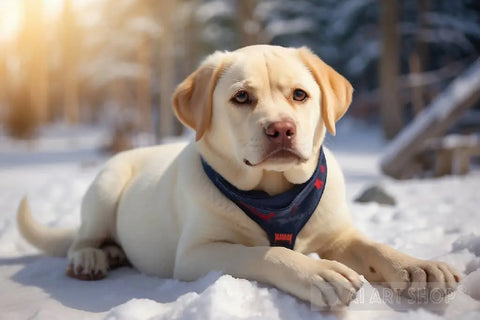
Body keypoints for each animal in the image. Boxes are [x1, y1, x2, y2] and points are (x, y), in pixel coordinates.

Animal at [17, 44, 462, 308]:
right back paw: (92, 256)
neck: (276, 194)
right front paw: (317, 272)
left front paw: (417, 267)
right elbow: (264, 253)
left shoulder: (338, 234)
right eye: (241, 97)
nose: (281, 129)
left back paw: (111, 252)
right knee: (82, 238)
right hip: (106, 185)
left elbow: (374, 247)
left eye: (300, 94)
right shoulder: (197, 254)